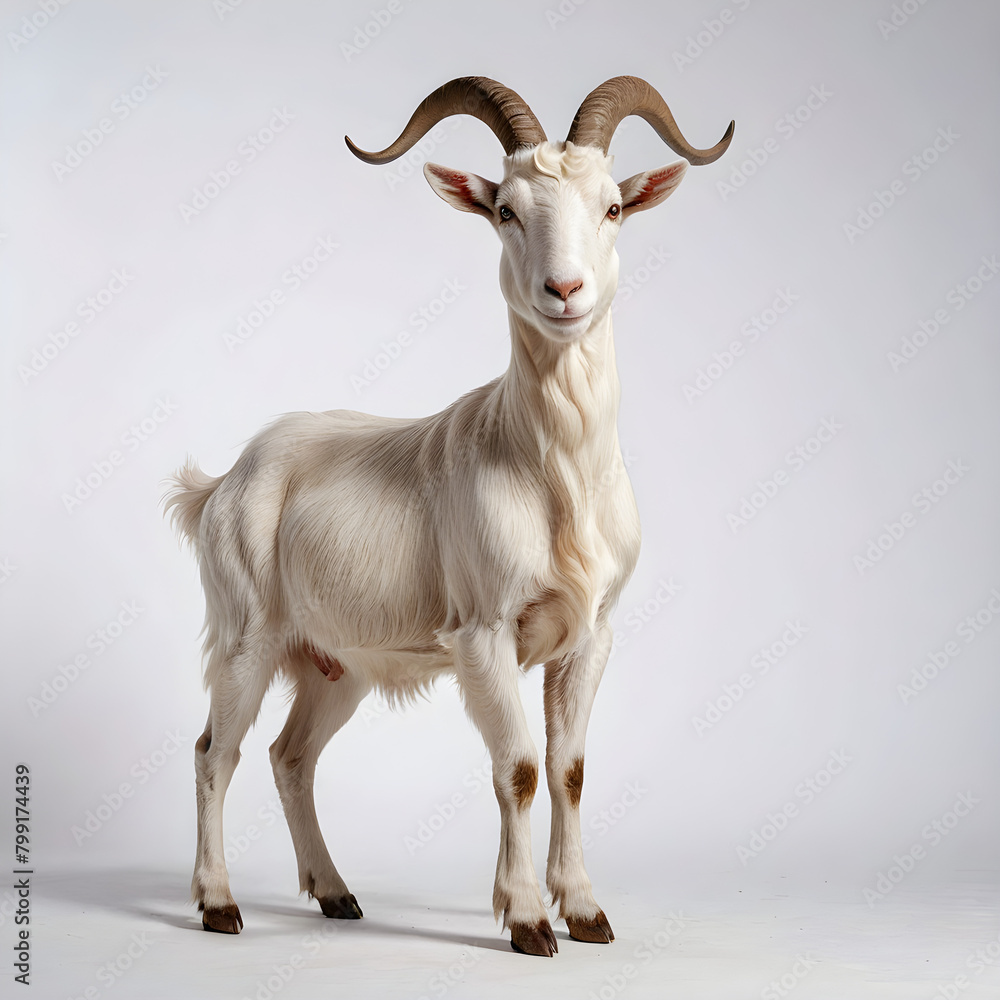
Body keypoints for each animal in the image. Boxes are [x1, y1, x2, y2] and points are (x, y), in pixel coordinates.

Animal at [165, 76, 732, 956]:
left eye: (612, 207)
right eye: (505, 209)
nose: (564, 292)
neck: (547, 471)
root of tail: (221, 482)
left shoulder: (592, 634)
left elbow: (568, 767)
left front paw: (585, 912)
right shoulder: (484, 631)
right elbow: (519, 769)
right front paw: (528, 919)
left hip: (335, 662)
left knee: (291, 755)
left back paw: (336, 894)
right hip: (245, 633)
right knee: (213, 752)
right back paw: (218, 904)